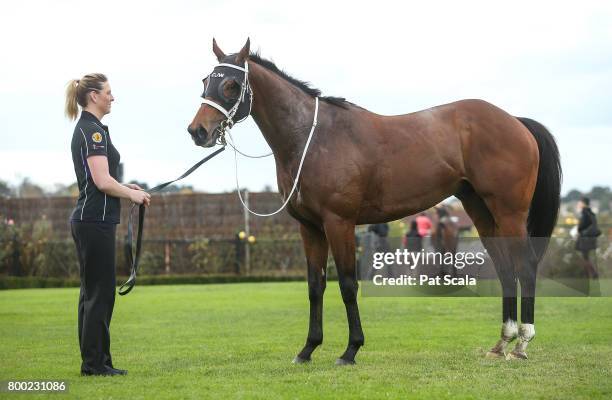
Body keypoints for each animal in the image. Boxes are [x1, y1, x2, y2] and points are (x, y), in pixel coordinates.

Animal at [188, 39, 564, 364]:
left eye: (232, 85)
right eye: (206, 80)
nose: (198, 131)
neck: (313, 138)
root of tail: (516, 122)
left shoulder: (339, 223)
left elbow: (348, 284)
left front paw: (350, 350)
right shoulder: (309, 228)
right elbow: (315, 286)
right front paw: (308, 349)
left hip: (510, 212)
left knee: (524, 266)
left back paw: (523, 343)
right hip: (482, 211)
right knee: (505, 269)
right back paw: (502, 342)